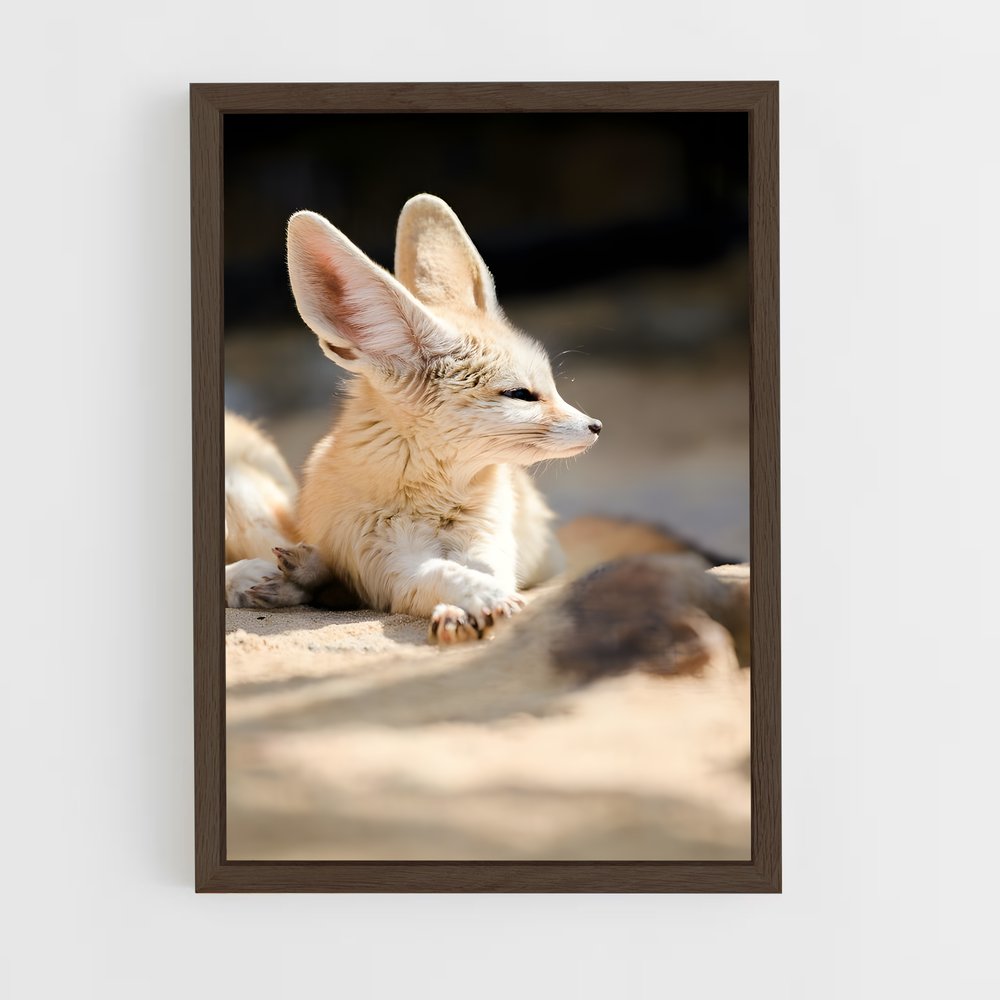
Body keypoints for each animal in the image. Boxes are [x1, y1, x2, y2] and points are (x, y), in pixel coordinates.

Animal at [225, 194, 602, 642]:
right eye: (521, 395)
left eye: (551, 387)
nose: (596, 427)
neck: (436, 503)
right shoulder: (391, 564)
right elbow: (441, 573)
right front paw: (473, 602)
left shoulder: (488, 544)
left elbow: (488, 573)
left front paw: (482, 604)